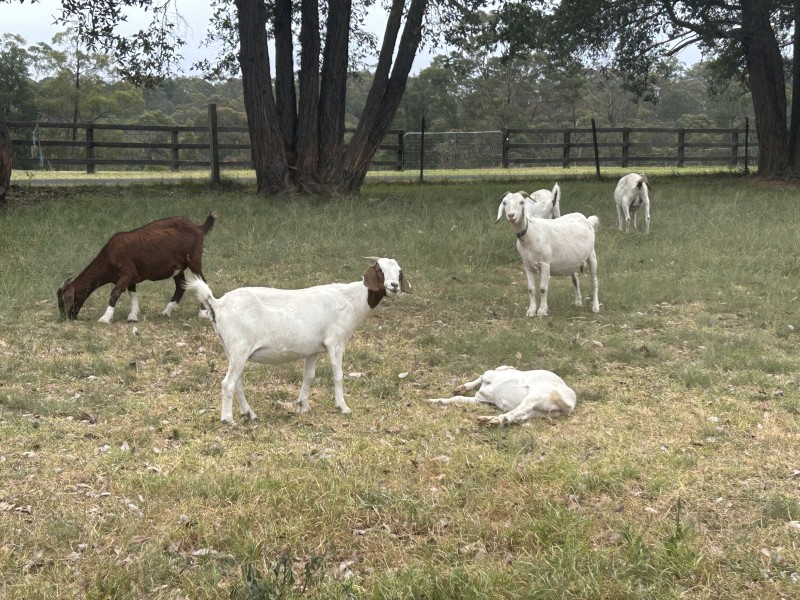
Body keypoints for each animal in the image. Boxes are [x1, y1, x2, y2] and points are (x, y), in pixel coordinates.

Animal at [57, 213, 216, 323]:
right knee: (180, 285)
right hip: (178, 267)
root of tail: (199, 227)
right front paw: (133, 316)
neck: (109, 257)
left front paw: (105, 318)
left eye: (64, 301)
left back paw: (202, 313)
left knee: (203, 281)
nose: (65, 318)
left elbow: (114, 293)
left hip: (194, 259)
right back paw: (167, 311)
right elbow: (132, 293)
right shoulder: (132, 277)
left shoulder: (126, 274)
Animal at [185, 257, 411, 424]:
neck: (351, 299)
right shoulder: (335, 341)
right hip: (239, 347)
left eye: (399, 272)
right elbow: (338, 375)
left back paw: (250, 414)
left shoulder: (314, 349)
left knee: (237, 383)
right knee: (227, 383)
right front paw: (343, 407)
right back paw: (228, 420)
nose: (394, 286)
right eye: (380, 271)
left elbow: (308, 376)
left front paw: (303, 405)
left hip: (231, 349)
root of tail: (216, 303)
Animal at [429, 365, 577, 425]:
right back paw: (491, 420)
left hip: (538, 394)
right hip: (539, 412)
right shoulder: (479, 400)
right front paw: (437, 400)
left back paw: (494, 420)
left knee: (519, 410)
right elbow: (458, 398)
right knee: (519, 415)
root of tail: (571, 403)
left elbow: (483, 375)